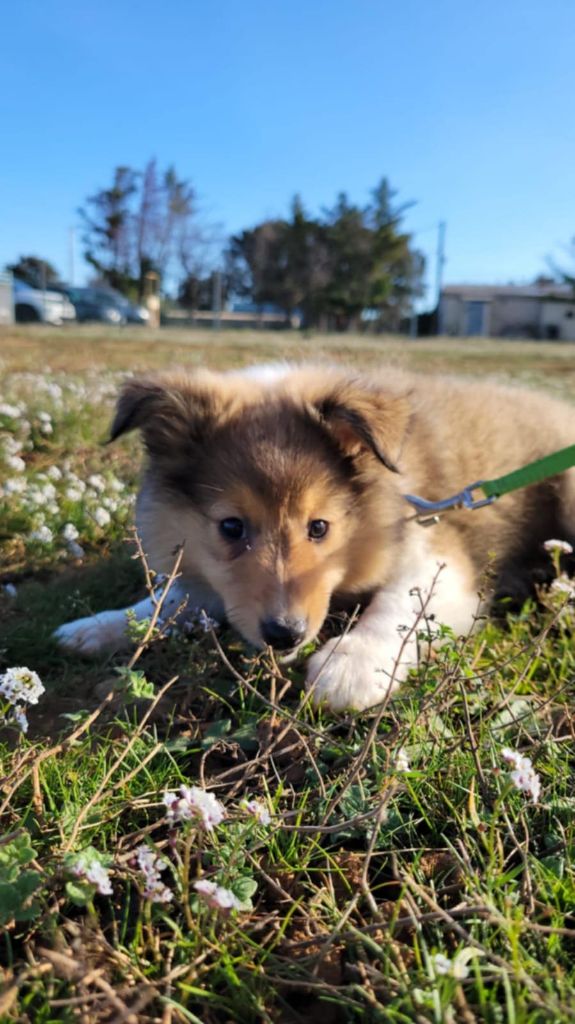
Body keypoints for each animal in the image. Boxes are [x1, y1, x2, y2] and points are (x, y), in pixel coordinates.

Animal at [56, 366, 572, 712]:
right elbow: (171, 600)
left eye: (319, 527)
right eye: (231, 527)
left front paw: (352, 665)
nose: (285, 634)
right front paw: (97, 626)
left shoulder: (436, 553)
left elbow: (400, 605)